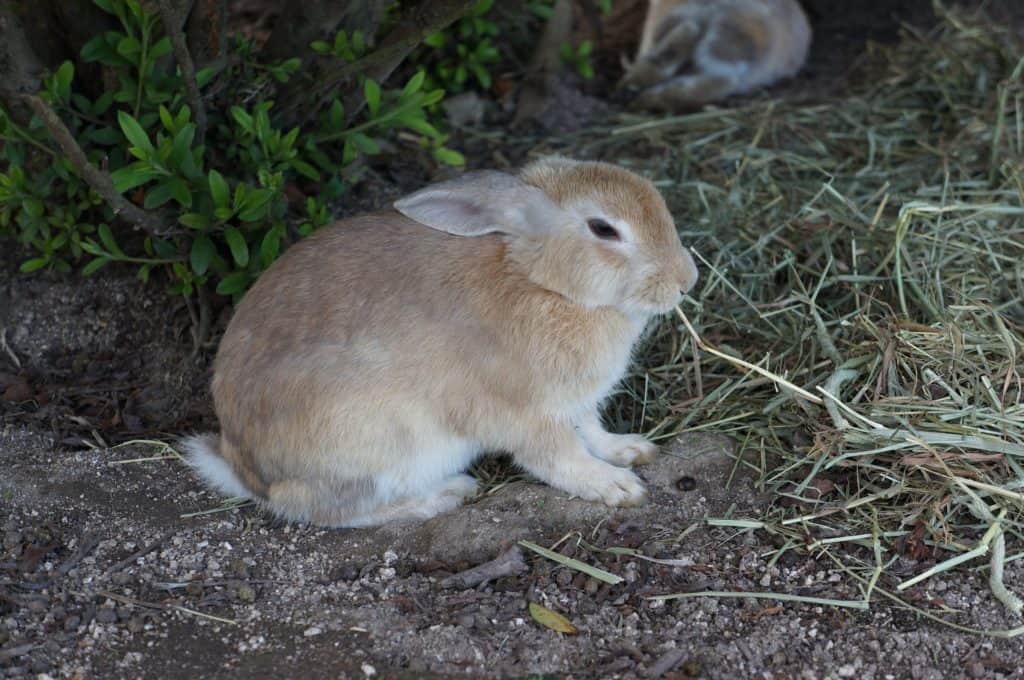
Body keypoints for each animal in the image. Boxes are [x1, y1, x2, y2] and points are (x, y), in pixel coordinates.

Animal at [181, 157, 699, 528]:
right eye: (603, 229)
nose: (686, 280)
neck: (541, 282)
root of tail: (244, 468)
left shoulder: (577, 403)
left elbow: (592, 431)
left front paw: (630, 450)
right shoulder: (526, 415)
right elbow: (560, 457)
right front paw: (618, 487)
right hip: (380, 440)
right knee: (322, 510)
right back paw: (445, 495)